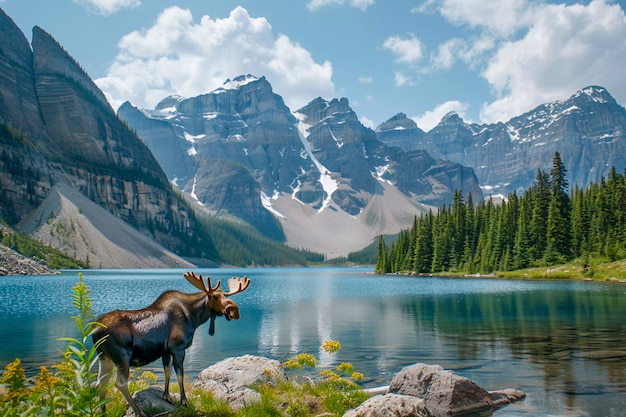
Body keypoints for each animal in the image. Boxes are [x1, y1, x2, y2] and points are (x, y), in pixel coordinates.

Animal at [92, 272, 249, 416]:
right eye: (215, 296)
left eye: (226, 295)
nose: (234, 311)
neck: (194, 318)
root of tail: (94, 331)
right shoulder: (178, 348)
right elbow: (180, 374)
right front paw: (184, 401)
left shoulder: (166, 351)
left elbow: (167, 372)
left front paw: (166, 397)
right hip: (122, 356)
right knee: (120, 383)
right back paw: (140, 412)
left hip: (104, 357)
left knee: (101, 383)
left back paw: (103, 413)